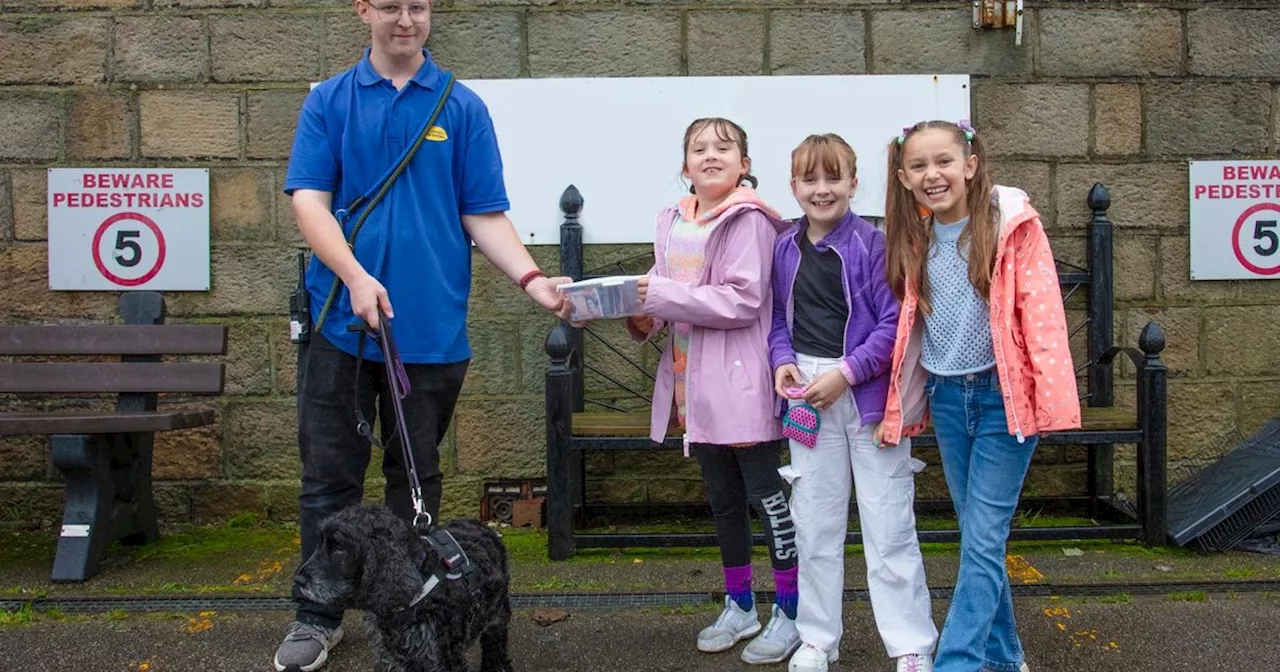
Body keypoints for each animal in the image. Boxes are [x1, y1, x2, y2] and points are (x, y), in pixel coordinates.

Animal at [293, 501, 512, 670]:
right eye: (319, 543)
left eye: (339, 548)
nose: (298, 580)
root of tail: (484, 526)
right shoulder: (389, 655)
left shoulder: (444, 658)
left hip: (497, 617)